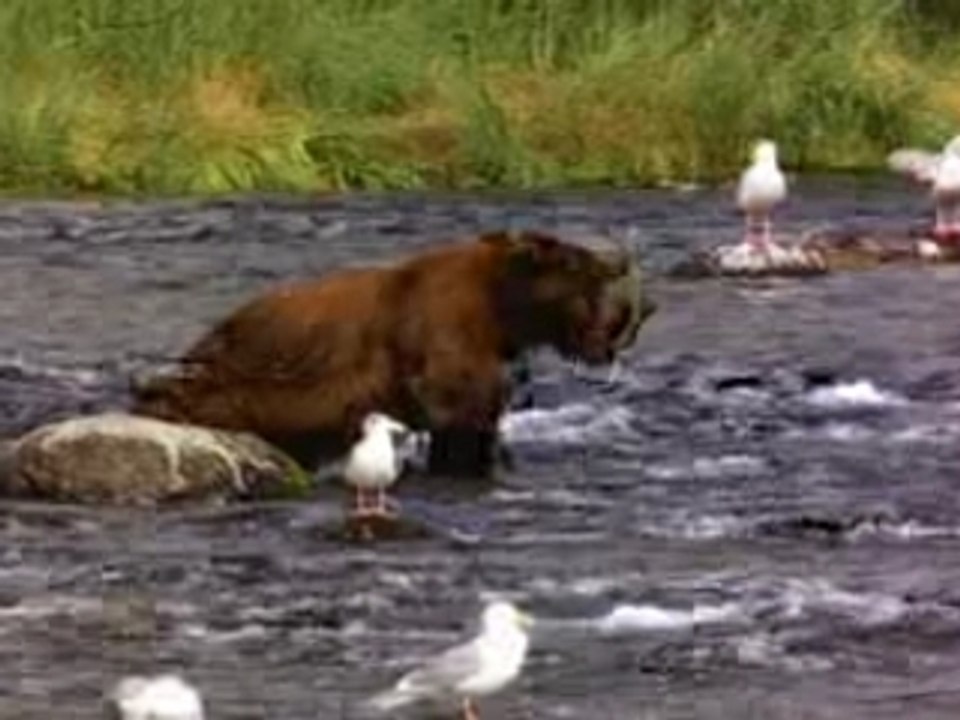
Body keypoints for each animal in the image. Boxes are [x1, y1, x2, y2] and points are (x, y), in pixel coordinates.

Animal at [132, 230, 656, 477]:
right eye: (581, 267)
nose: (642, 311)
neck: (503, 314)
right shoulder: (445, 345)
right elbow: (462, 424)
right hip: (236, 384)